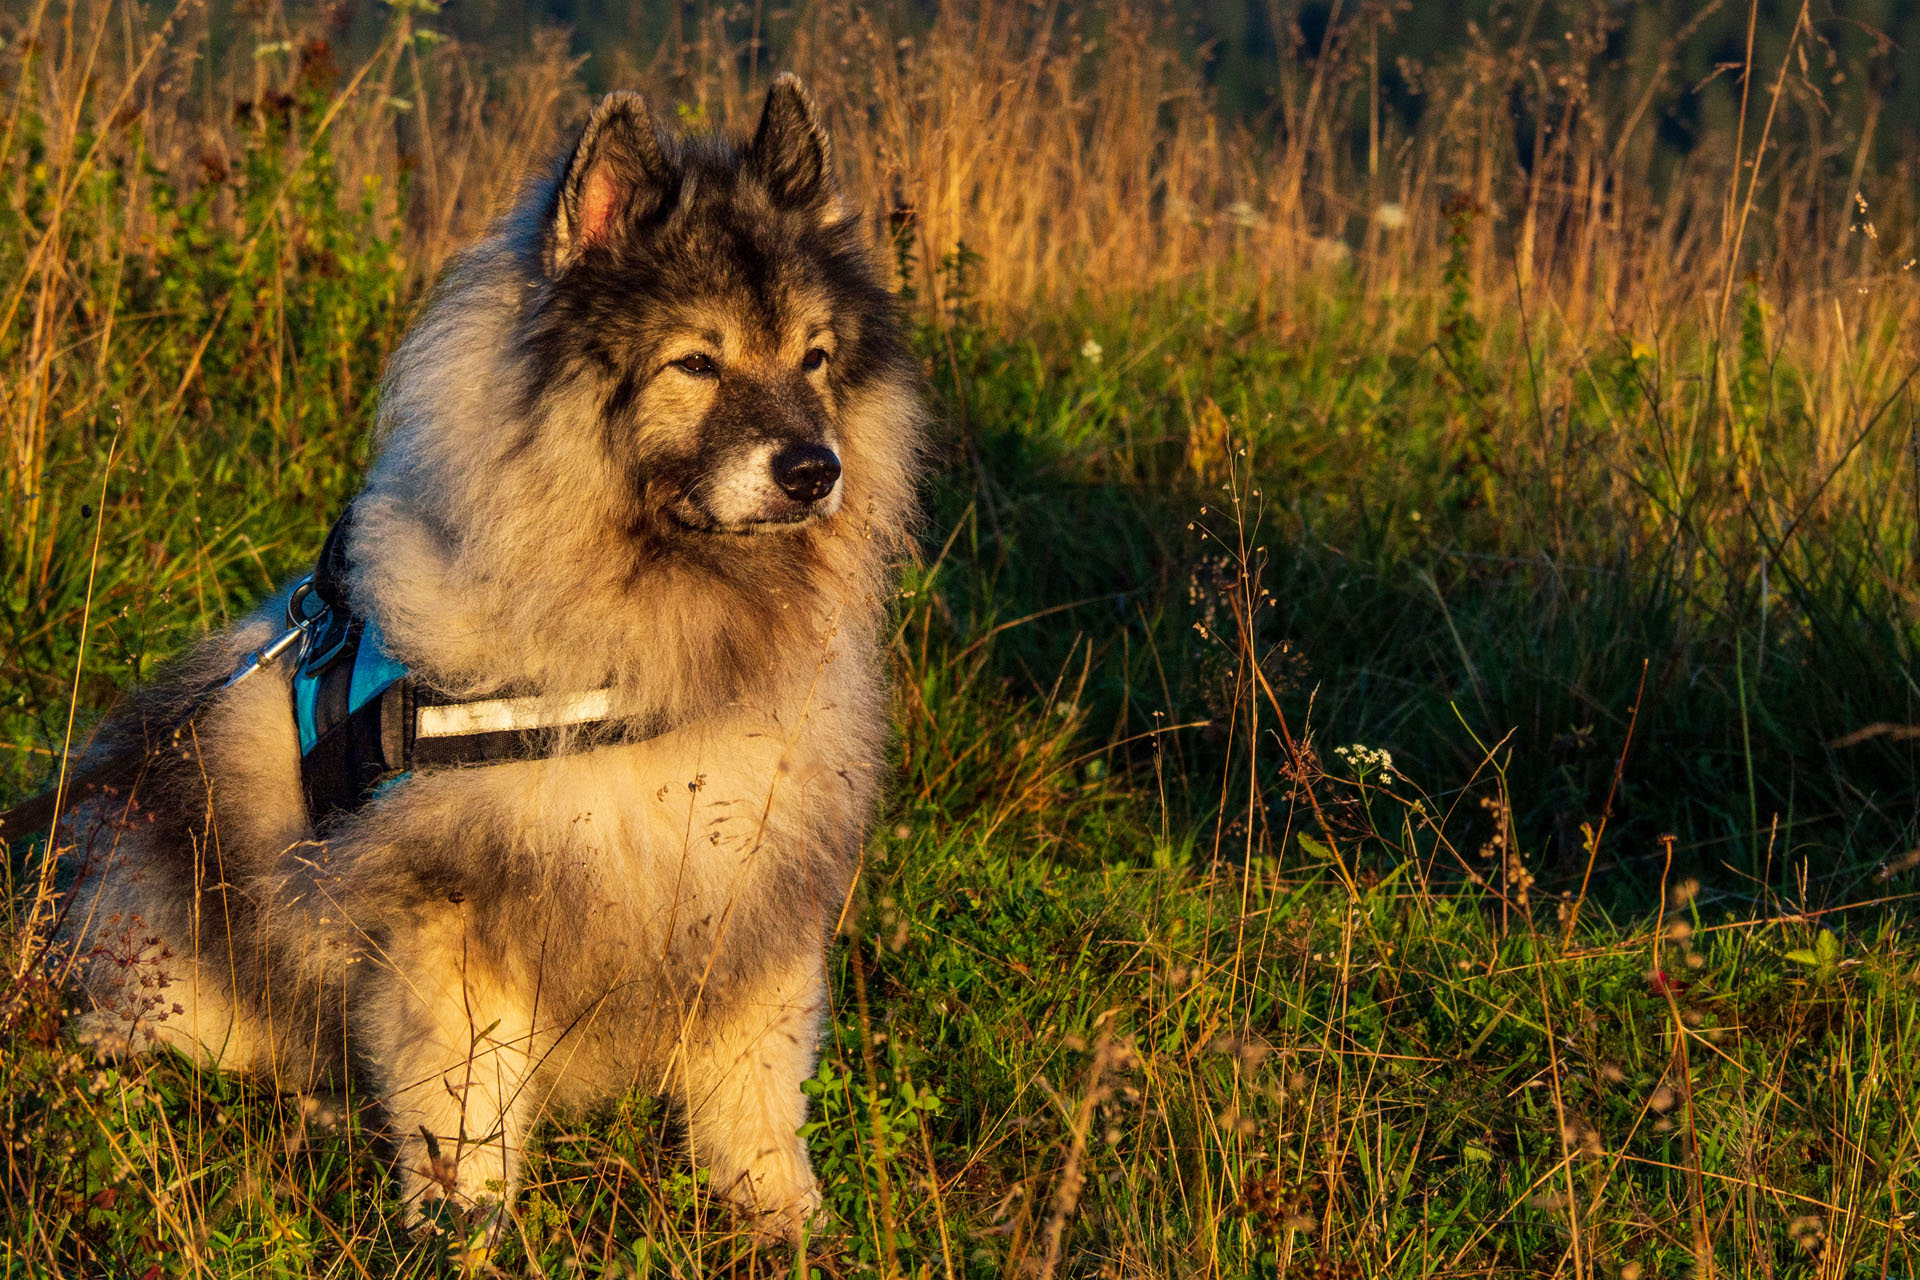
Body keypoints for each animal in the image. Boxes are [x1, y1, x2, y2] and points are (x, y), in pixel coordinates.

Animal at [35, 77, 921, 1243]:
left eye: (815, 358)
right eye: (696, 361)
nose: (815, 469)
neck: (659, 638)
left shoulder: (750, 901)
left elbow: (756, 1091)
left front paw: (785, 1217)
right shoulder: (457, 924)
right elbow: (463, 1108)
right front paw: (466, 1229)